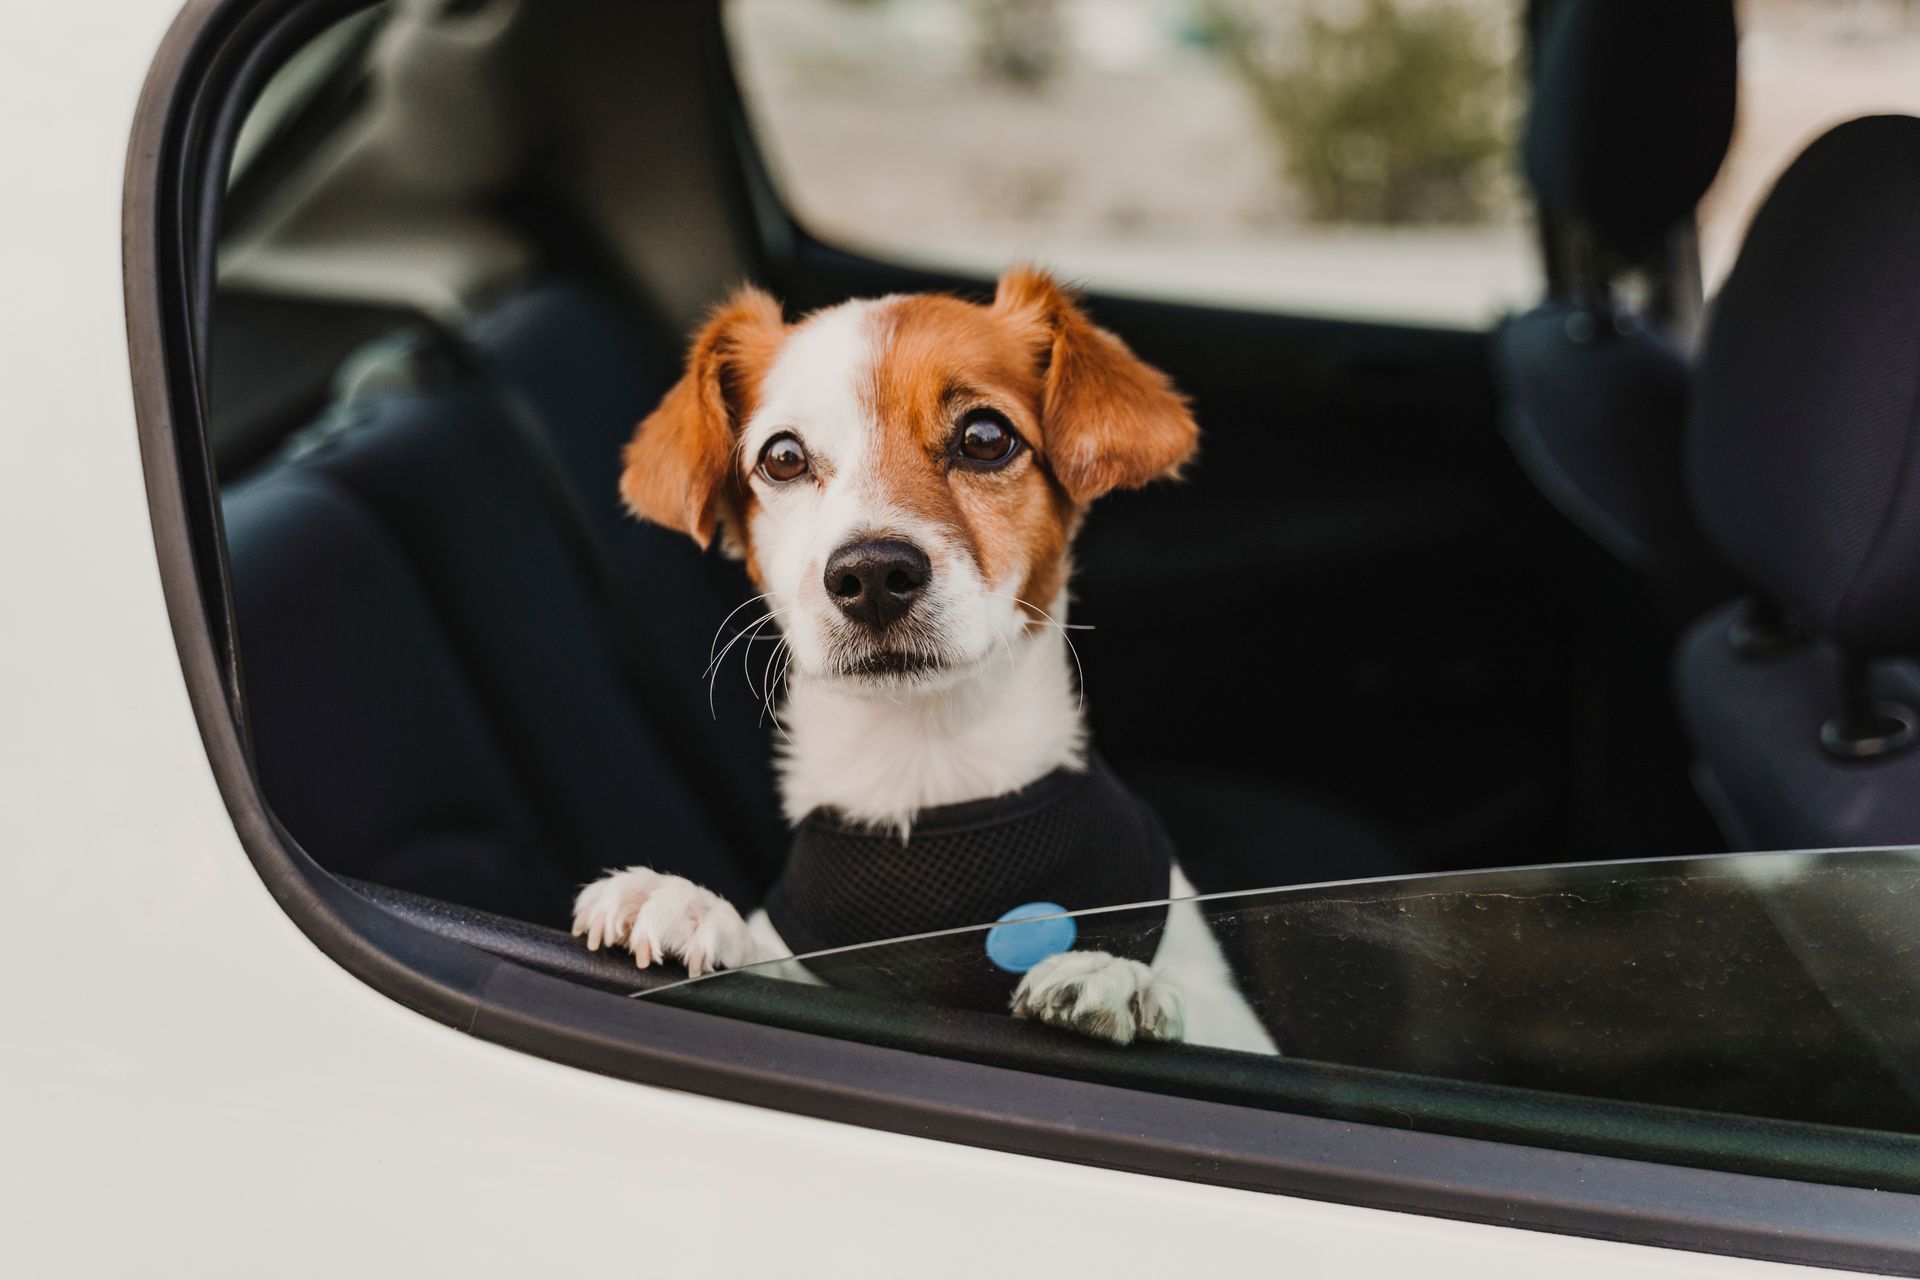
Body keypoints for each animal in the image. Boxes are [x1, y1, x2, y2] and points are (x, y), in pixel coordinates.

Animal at [576, 268, 1282, 1051]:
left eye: (985, 437)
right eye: (783, 457)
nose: (872, 574)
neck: (927, 759)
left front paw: (1114, 973)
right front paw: (689, 905)